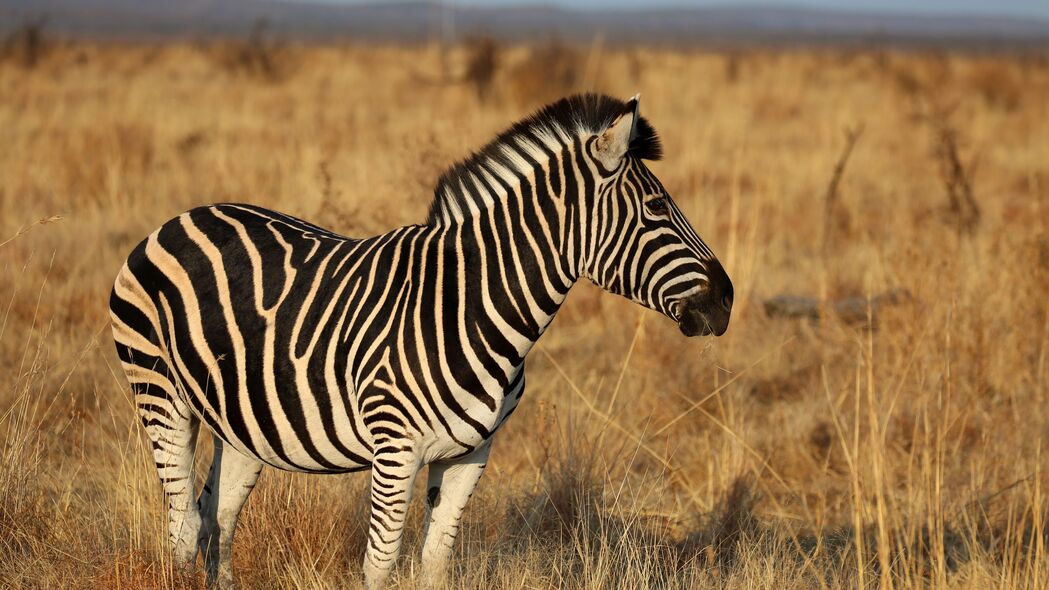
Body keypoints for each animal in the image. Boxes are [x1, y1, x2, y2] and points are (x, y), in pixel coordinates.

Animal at [106, 93, 730, 583]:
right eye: (656, 207)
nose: (725, 302)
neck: (472, 304)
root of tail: (177, 218)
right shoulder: (395, 448)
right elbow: (380, 564)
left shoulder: (472, 452)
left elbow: (435, 562)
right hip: (160, 393)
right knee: (183, 524)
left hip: (241, 425)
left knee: (218, 524)